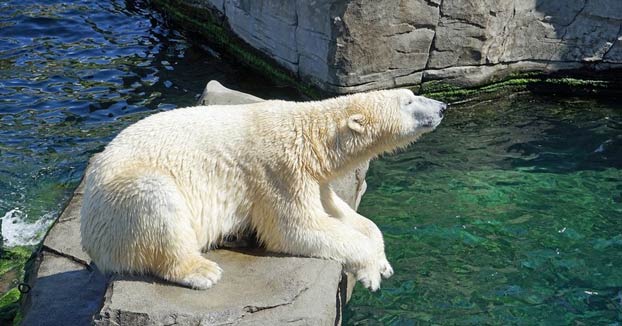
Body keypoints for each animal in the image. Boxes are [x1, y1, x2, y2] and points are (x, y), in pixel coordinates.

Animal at [80, 88, 448, 290]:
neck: (310, 135)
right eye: (409, 101)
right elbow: (296, 229)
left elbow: (342, 214)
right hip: (121, 199)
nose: (443, 107)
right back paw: (202, 271)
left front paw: (383, 261)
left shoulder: (311, 176)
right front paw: (371, 271)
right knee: (156, 200)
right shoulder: (278, 170)